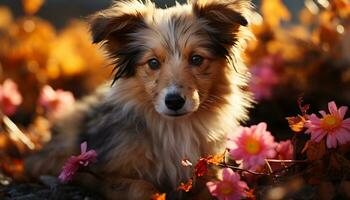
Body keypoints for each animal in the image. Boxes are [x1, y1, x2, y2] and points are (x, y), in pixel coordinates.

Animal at [26, 0, 253, 198]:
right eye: (152, 63)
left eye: (197, 59)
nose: (174, 101)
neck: (174, 129)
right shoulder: (97, 173)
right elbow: (140, 187)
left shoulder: (208, 170)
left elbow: (213, 187)